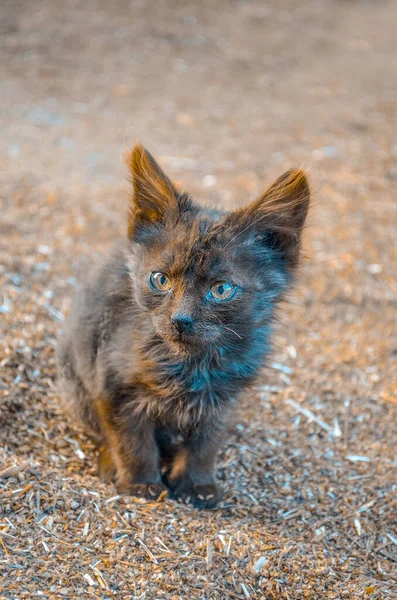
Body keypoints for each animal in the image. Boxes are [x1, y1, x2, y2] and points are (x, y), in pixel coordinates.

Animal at [56, 144, 310, 506]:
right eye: (160, 280)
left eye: (221, 289)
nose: (180, 319)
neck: (192, 366)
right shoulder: (113, 385)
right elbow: (131, 440)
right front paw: (141, 483)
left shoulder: (223, 399)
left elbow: (206, 443)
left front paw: (195, 484)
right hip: (75, 379)